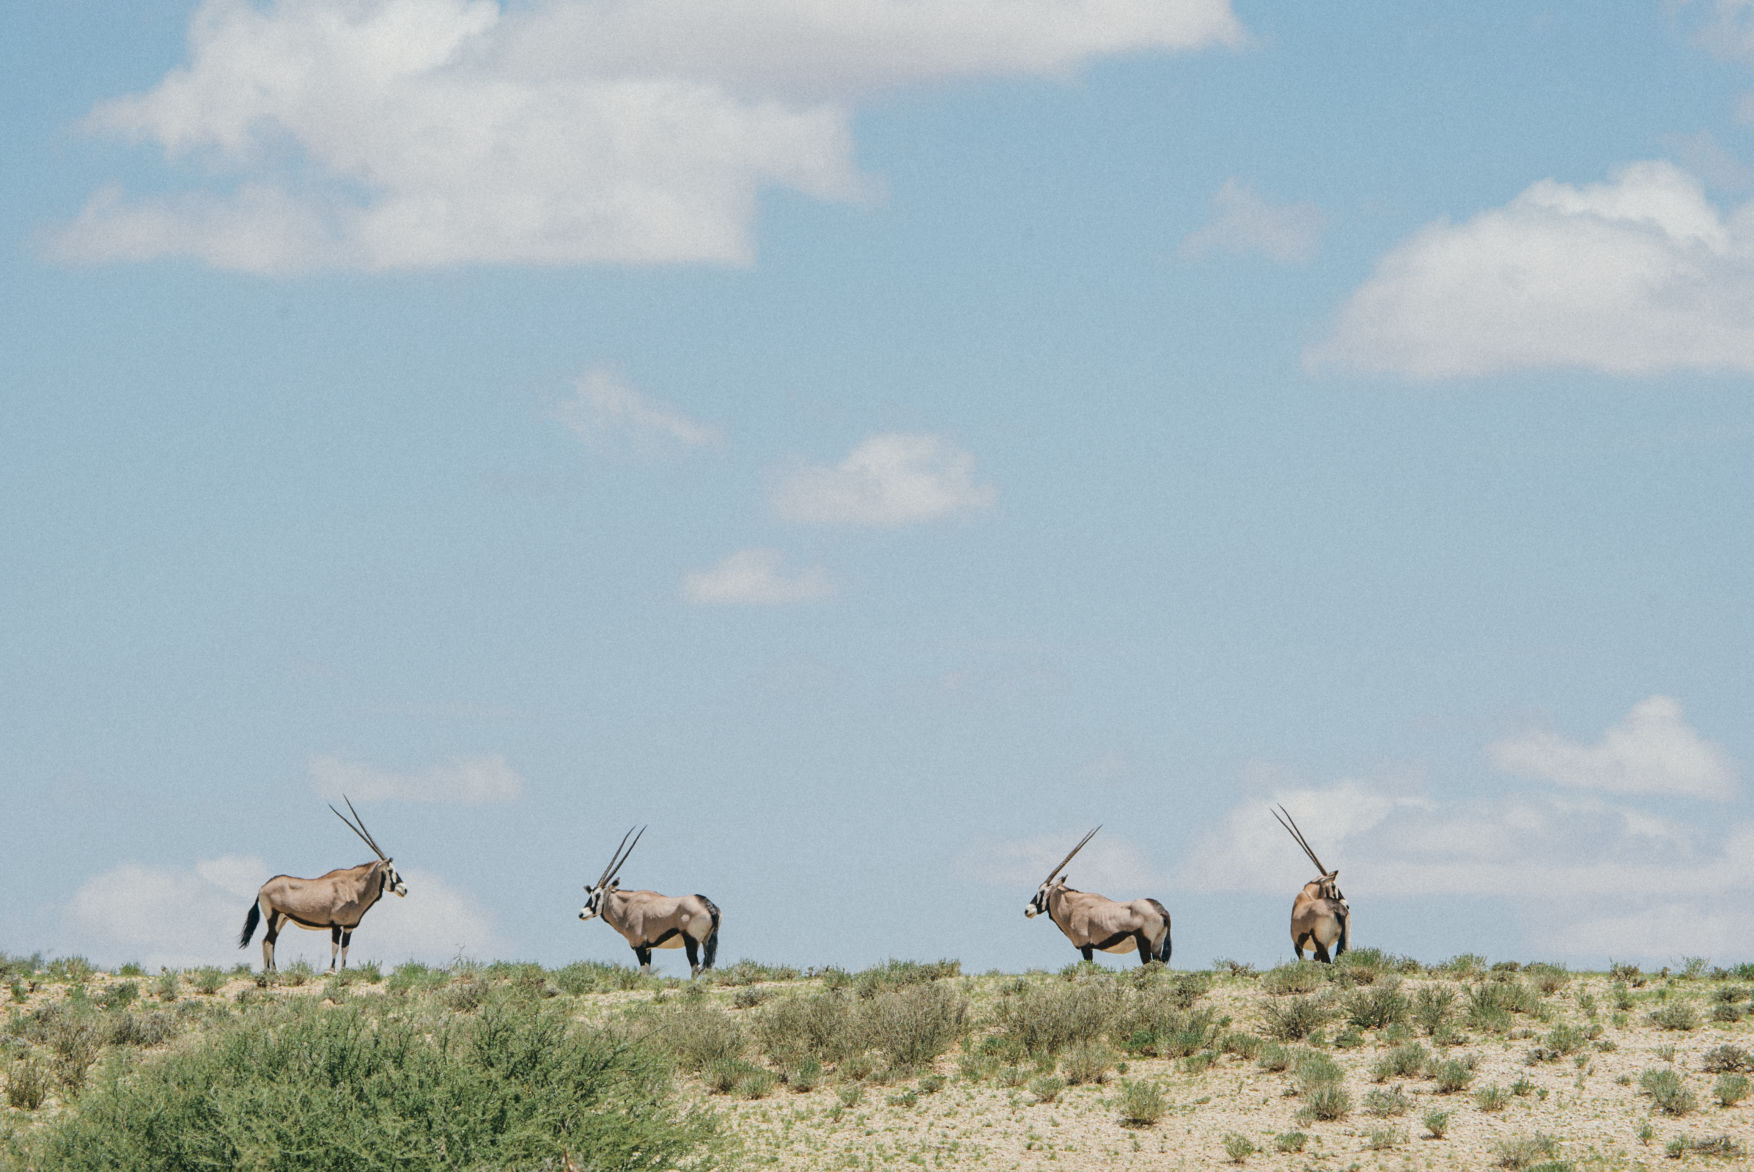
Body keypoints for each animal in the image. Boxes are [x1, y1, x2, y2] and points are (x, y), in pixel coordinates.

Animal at [238, 793, 405, 975]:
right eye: (390, 870)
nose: (404, 889)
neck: (354, 889)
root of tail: (262, 888)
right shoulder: (336, 925)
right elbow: (335, 947)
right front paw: (331, 970)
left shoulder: (349, 927)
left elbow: (346, 948)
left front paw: (344, 970)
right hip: (273, 917)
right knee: (269, 941)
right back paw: (273, 971)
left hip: (282, 919)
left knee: (266, 941)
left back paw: (270, 970)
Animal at [582, 824, 719, 982]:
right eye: (590, 894)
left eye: (598, 895)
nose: (582, 913)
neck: (627, 907)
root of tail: (707, 905)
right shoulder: (648, 949)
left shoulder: (640, 946)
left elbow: (644, 974)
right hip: (706, 941)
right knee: (708, 967)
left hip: (691, 942)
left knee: (695, 968)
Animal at [1024, 824, 1171, 961]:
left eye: (1042, 891)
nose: (1027, 910)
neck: (1072, 907)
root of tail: (1160, 910)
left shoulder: (1085, 946)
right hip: (1157, 945)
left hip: (1144, 944)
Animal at [1269, 807, 1347, 961]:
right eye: (1333, 886)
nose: (1347, 903)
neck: (1306, 896)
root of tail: (1336, 910)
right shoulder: (1314, 951)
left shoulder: (1297, 945)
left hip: (1321, 944)